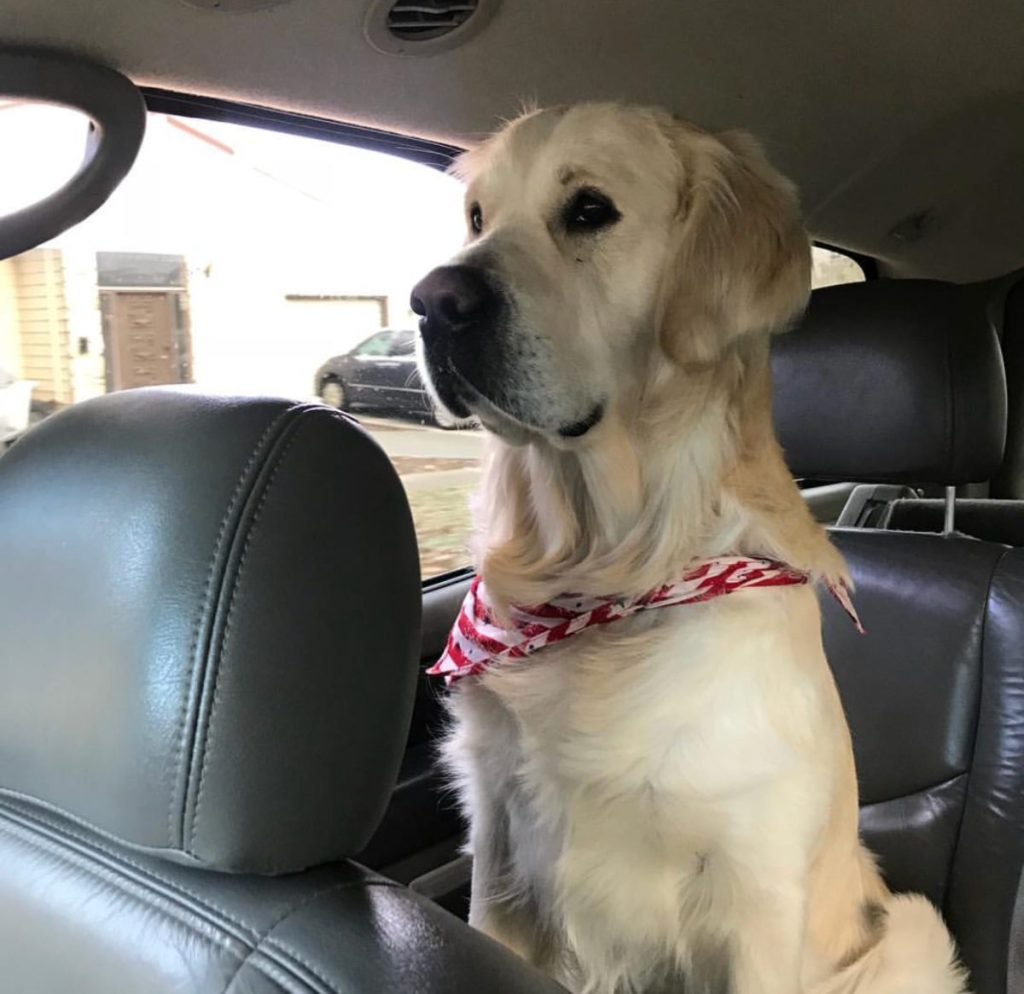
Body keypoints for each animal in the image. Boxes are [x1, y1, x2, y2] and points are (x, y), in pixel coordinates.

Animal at [409, 104, 966, 994]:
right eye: (476, 218)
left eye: (590, 211)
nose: (431, 300)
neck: (604, 576)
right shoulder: (498, 851)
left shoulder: (753, 895)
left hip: (910, 931)